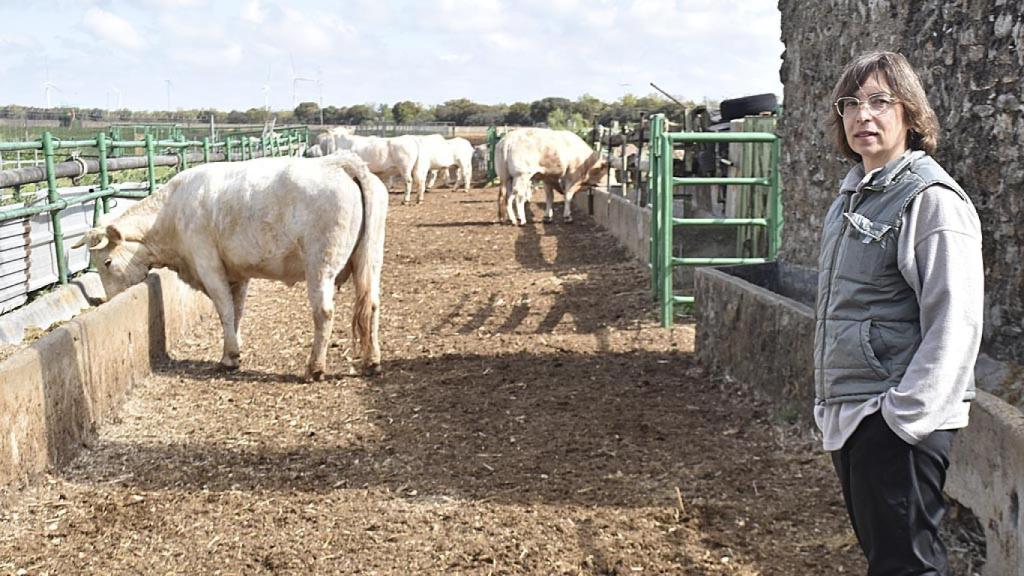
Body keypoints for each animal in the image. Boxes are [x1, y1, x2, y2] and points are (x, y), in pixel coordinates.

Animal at [72, 152, 388, 381]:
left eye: (107, 262)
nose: (111, 300)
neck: (170, 214)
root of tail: (340, 162)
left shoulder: (208, 265)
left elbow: (224, 310)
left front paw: (228, 357)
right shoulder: (239, 273)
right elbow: (237, 311)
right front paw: (235, 349)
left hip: (320, 265)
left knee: (324, 312)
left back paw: (315, 368)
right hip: (370, 259)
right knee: (371, 304)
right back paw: (371, 362)